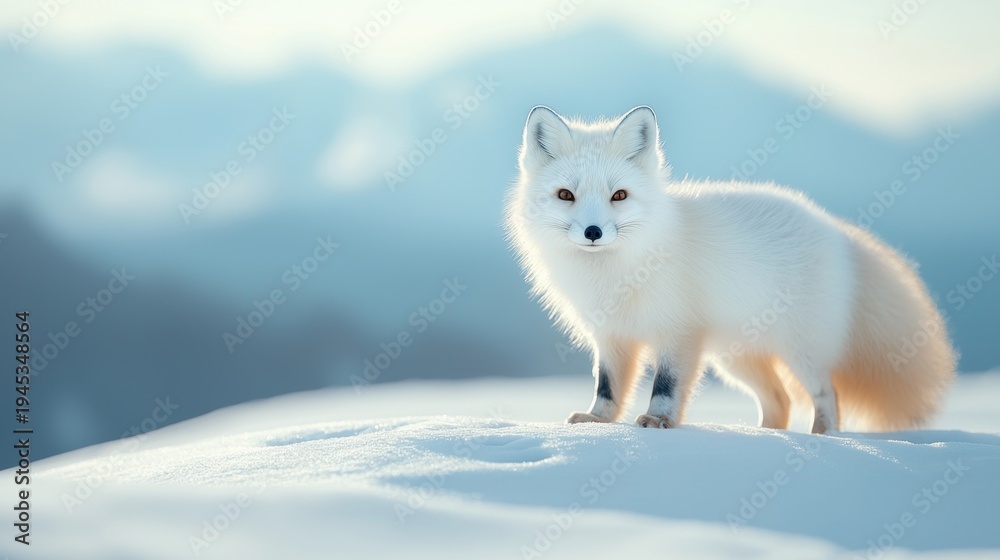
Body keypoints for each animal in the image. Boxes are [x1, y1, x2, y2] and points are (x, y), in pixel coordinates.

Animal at [504, 105, 956, 433]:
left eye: (619, 196)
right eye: (566, 195)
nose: (593, 232)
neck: (619, 272)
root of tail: (837, 230)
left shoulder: (678, 333)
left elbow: (665, 386)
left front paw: (659, 422)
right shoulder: (613, 335)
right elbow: (608, 387)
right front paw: (596, 422)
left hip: (800, 352)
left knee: (826, 395)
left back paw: (821, 436)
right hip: (737, 358)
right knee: (780, 400)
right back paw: (766, 435)